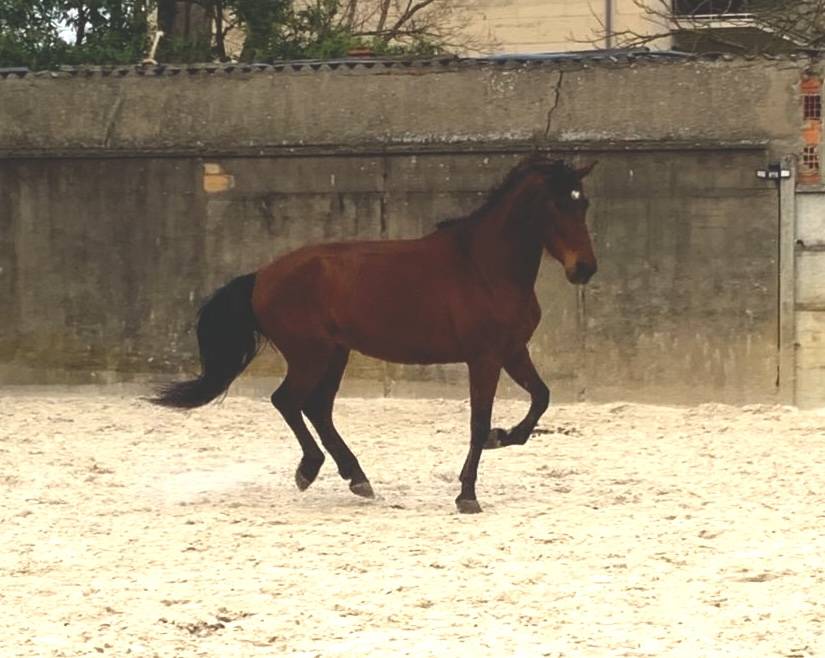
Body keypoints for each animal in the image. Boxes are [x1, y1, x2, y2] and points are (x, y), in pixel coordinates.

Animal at [151, 155, 597, 513]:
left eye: (584, 203)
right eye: (557, 204)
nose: (585, 269)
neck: (484, 268)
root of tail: (261, 276)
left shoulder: (513, 351)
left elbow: (541, 397)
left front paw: (502, 437)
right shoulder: (484, 358)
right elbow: (477, 421)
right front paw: (468, 494)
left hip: (335, 354)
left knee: (316, 408)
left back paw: (356, 478)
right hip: (311, 354)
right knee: (287, 401)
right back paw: (311, 470)